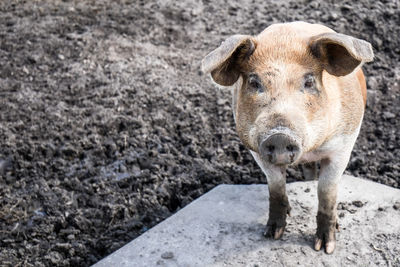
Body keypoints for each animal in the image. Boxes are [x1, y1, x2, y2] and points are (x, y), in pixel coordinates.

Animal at [202, 22, 374, 254]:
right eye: (254, 82)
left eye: (309, 82)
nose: (280, 135)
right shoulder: (256, 150)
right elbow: (276, 187)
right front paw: (272, 235)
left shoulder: (344, 144)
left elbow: (326, 191)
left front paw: (325, 248)